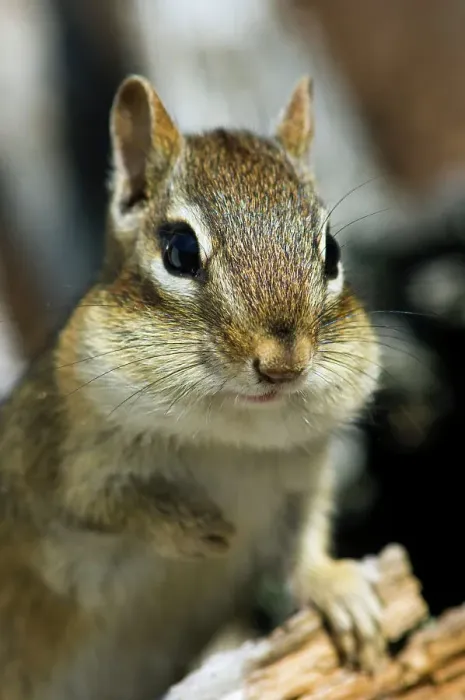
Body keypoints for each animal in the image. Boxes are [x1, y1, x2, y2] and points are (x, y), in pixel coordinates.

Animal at [0, 74, 385, 700]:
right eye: (179, 251)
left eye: (332, 251)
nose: (283, 365)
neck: (224, 438)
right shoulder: (49, 463)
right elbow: (101, 503)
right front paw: (189, 527)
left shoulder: (301, 481)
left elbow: (303, 544)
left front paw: (341, 590)